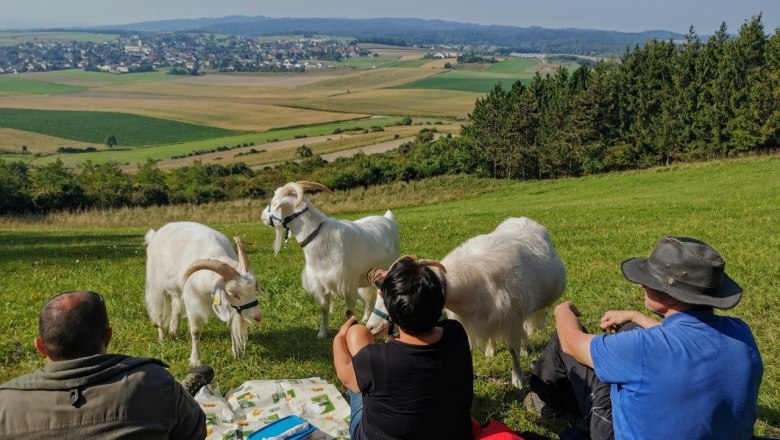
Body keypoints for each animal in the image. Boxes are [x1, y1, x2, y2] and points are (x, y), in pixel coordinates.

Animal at [146, 222, 266, 366]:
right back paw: (162, 338)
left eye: (254, 289)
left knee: (176, 307)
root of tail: (156, 234)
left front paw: (236, 353)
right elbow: (195, 331)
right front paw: (195, 360)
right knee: (158, 311)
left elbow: (231, 326)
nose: (258, 317)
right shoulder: (193, 302)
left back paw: (174, 331)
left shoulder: (229, 307)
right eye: (234, 294)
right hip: (157, 284)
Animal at [262, 180, 400, 338]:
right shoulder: (321, 284)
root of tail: (387, 218)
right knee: (369, 297)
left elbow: (349, 312)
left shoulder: (348, 285)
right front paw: (322, 333)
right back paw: (366, 317)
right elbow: (324, 308)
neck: (318, 237)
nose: (262, 216)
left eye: (274, 202)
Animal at [366, 217, 568, 388]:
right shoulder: (468, 323)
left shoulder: (511, 319)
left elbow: (512, 350)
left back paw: (525, 348)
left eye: (389, 299)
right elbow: (469, 349)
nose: (370, 328)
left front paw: (517, 379)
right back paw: (491, 350)